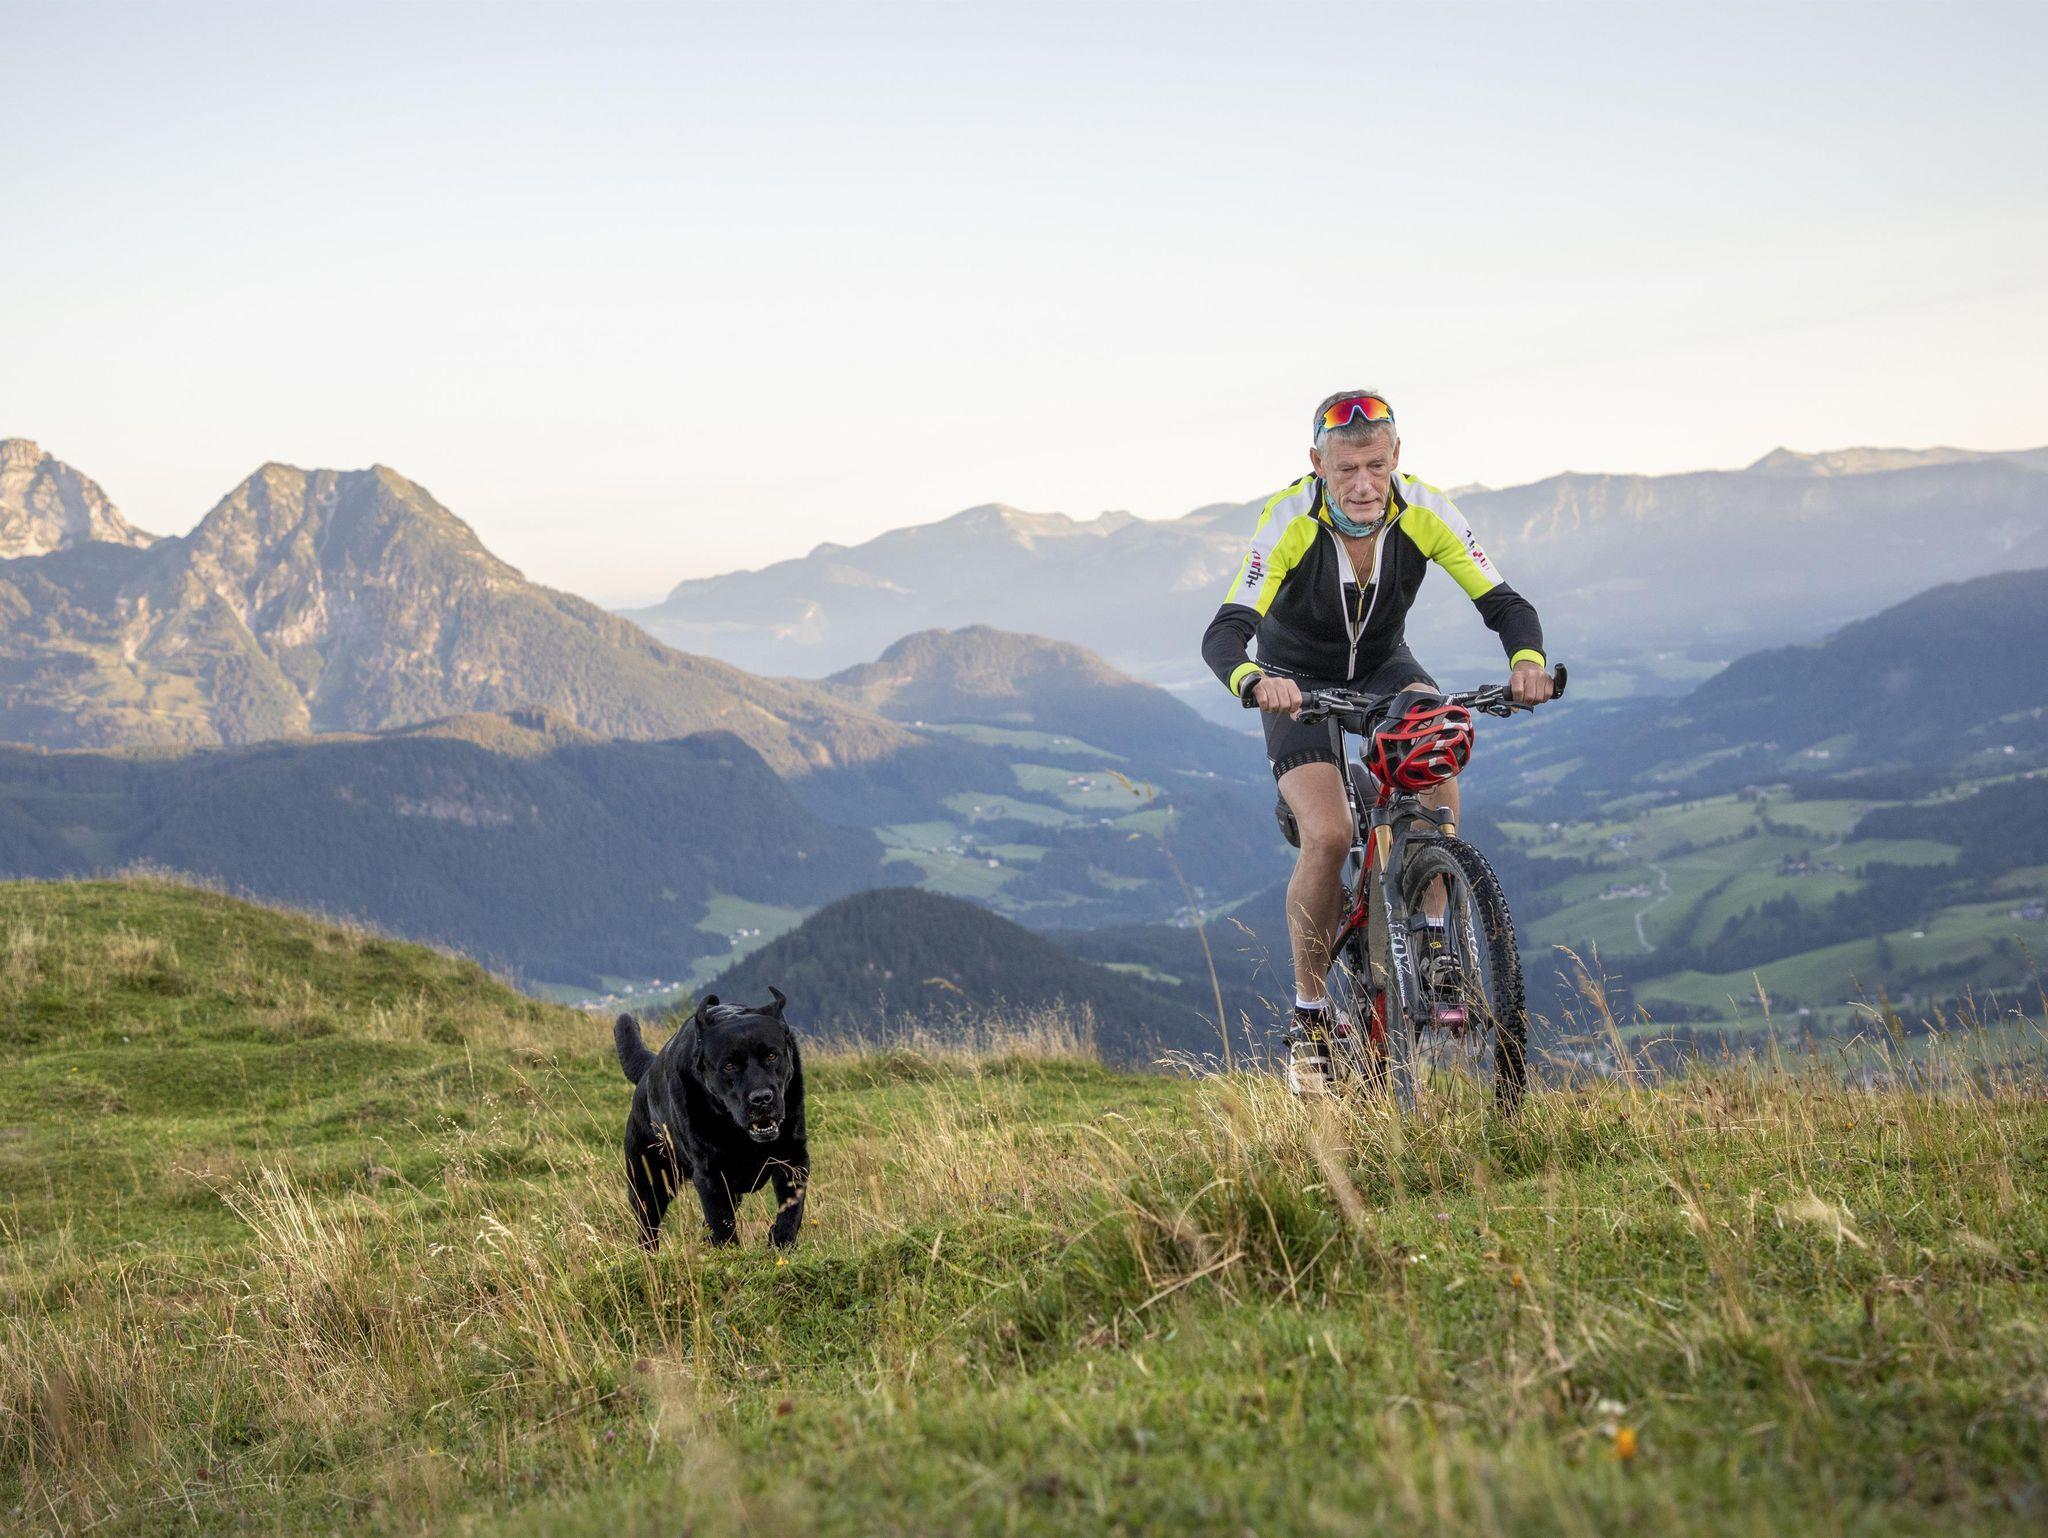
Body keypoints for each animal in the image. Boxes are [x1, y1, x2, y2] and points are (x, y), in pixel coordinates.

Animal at [613, 988, 808, 1251]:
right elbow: (722, 1221)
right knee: (647, 1225)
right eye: (729, 1065)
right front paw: (732, 1252)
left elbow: (792, 1208)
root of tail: (647, 1071)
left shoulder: (793, 1155)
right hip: (649, 1180)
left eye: (771, 1056)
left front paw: (781, 1241)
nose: (761, 1098)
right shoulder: (710, 1173)